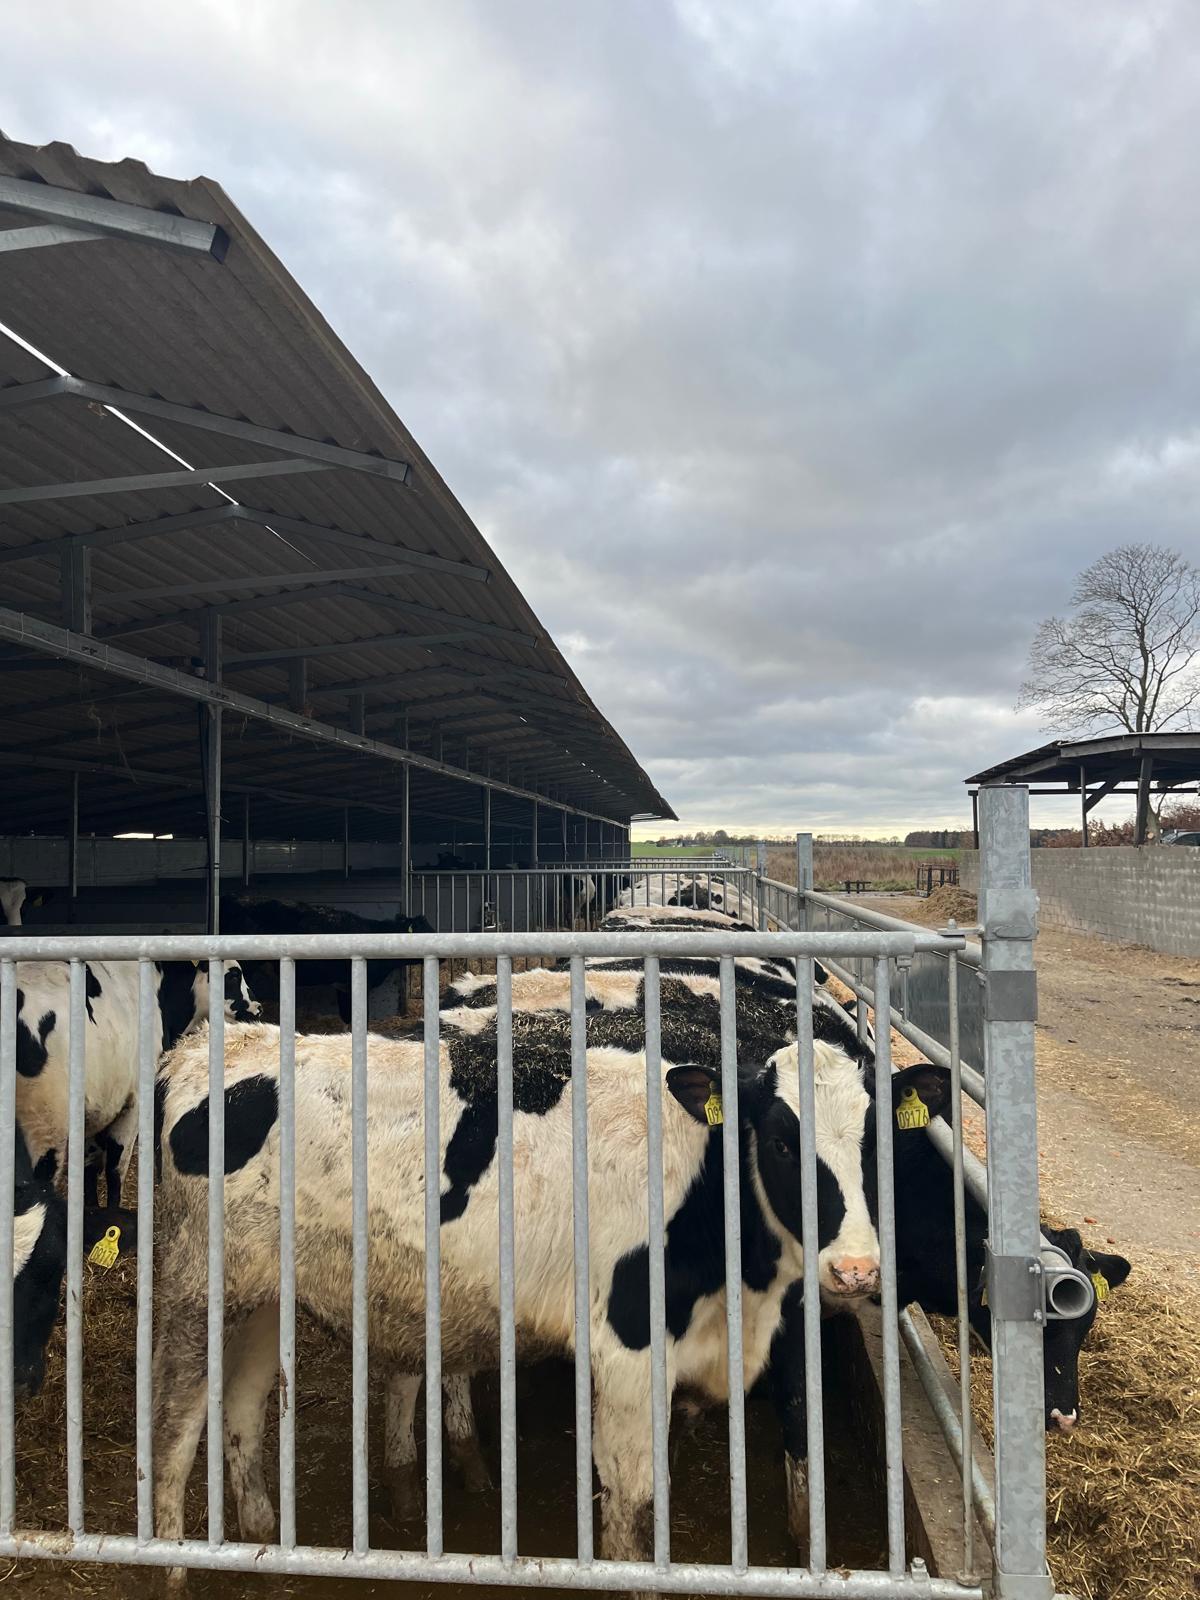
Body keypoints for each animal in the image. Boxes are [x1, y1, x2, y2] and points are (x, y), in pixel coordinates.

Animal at [10, 959, 259, 1206]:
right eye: (233, 975)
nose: (258, 1008)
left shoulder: (97, 1107)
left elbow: (89, 1168)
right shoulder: (134, 1101)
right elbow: (115, 1169)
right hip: (45, 1129)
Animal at [152, 1021, 879, 1563]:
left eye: (875, 1150)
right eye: (783, 1143)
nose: (857, 1269)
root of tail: (216, 1044)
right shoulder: (629, 1350)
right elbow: (633, 1505)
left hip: (263, 1294)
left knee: (242, 1403)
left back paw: (260, 1531)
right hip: (197, 1285)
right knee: (175, 1427)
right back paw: (171, 1559)